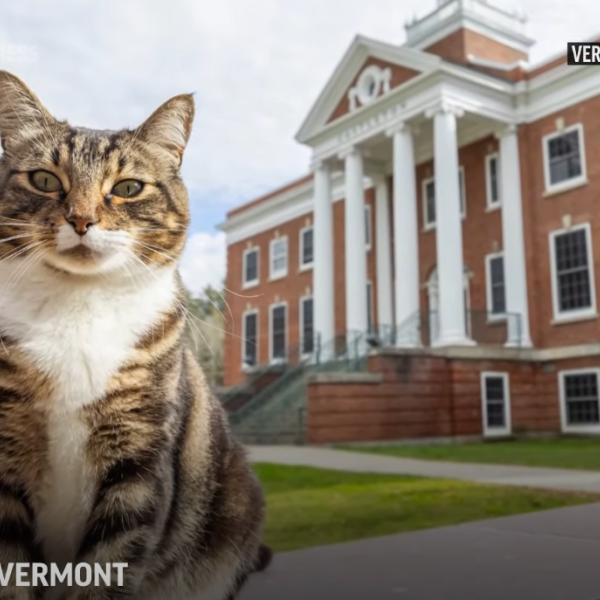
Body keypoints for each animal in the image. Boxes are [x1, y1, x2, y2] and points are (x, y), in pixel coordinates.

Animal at [0, 71, 268, 600]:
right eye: (44, 179)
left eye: (127, 187)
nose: (81, 220)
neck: (77, 304)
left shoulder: (139, 461)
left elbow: (110, 564)